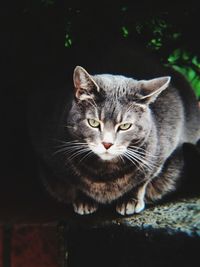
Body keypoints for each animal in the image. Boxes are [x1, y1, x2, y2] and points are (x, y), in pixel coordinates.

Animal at [30, 64, 200, 216]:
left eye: (125, 126)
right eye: (93, 123)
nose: (107, 143)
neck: (105, 173)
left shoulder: (162, 152)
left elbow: (143, 180)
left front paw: (131, 200)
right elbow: (73, 182)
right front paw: (84, 200)